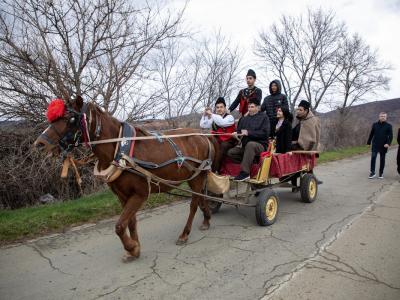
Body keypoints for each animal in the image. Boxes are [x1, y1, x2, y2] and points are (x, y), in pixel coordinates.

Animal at [34, 96, 220, 260]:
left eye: (71, 118)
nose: (40, 144)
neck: (120, 150)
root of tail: (203, 135)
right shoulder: (123, 196)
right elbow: (129, 223)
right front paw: (134, 249)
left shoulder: (139, 194)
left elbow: (119, 226)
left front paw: (131, 247)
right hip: (196, 178)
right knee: (202, 198)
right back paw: (207, 218)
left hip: (196, 178)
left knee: (193, 204)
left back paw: (184, 234)